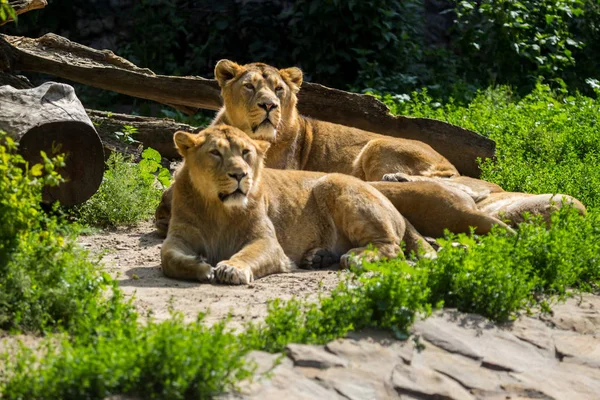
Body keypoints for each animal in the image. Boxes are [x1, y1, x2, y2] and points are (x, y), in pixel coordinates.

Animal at [163, 126, 436, 284]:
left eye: (246, 153)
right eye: (215, 153)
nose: (240, 175)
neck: (217, 209)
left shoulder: (267, 242)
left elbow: (246, 254)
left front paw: (231, 268)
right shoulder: (179, 236)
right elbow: (168, 258)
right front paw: (200, 266)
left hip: (335, 183)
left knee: (392, 247)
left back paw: (355, 257)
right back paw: (318, 257)